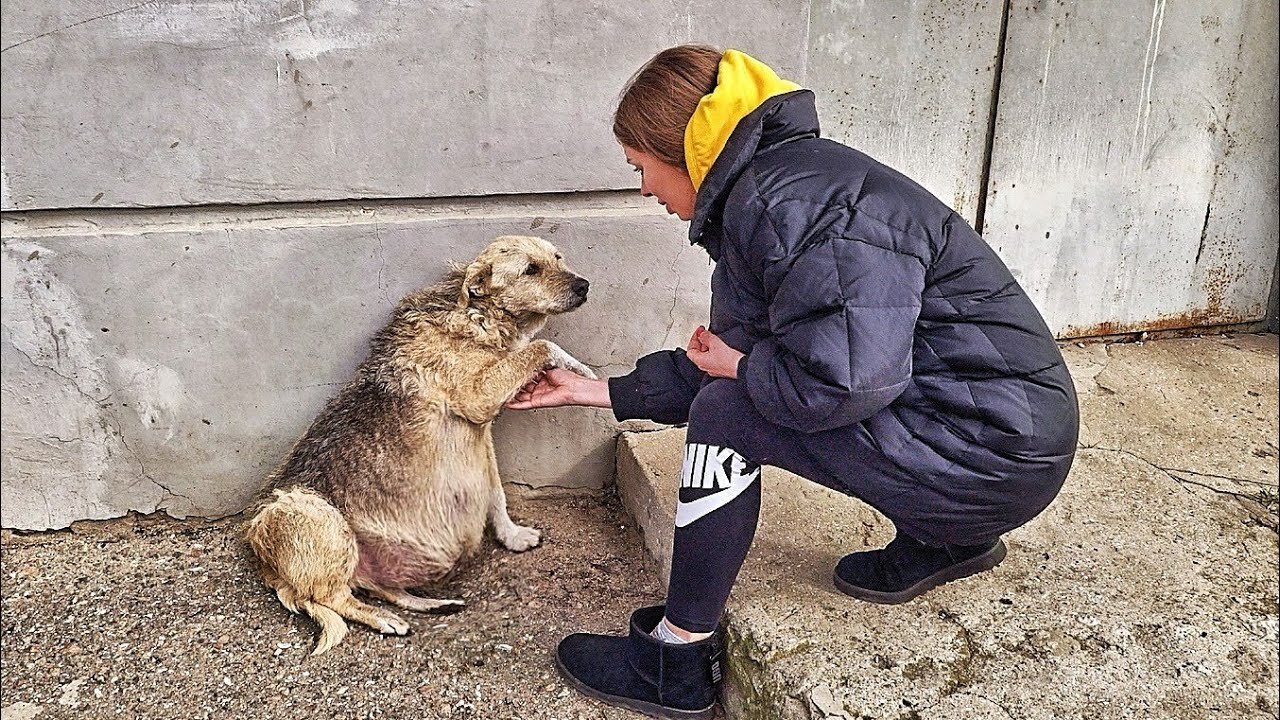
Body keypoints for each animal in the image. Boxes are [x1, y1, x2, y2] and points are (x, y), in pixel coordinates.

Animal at [247, 234, 596, 650]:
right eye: (531, 269)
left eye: (558, 258)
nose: (585, 285)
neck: (476, 315)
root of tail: (265, 563)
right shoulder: (479, 397)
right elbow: (542, 346)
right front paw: (583, 370)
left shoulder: (483, 436)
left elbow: (496, 492)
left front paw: (511, 535)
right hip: (314, 516)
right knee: (331, 597)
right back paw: (383, 619)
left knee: (377, 587)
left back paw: (430, 604)